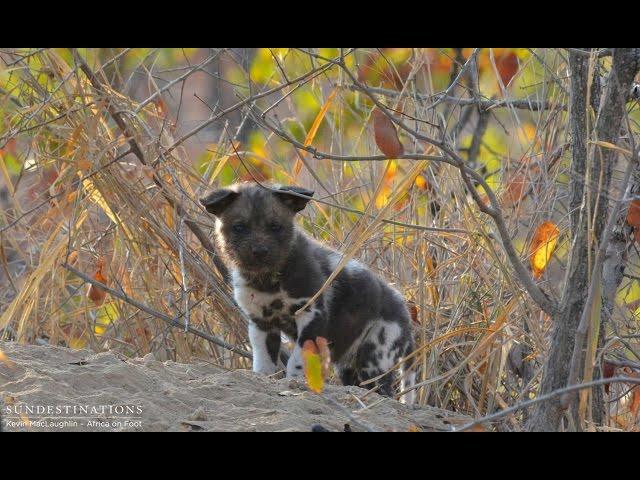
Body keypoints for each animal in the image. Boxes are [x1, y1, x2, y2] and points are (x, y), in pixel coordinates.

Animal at [201, 182, 420, 404]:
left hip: (375, 360)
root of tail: (405, 313)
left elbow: (296, 361)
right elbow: (264, 364)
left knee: (385, 391)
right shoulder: (261, 324)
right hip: (349, 367)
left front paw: (294, 384)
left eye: (275, 227)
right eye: (239, 227)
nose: (260, 251)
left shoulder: (311, 316)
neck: (267, 280)